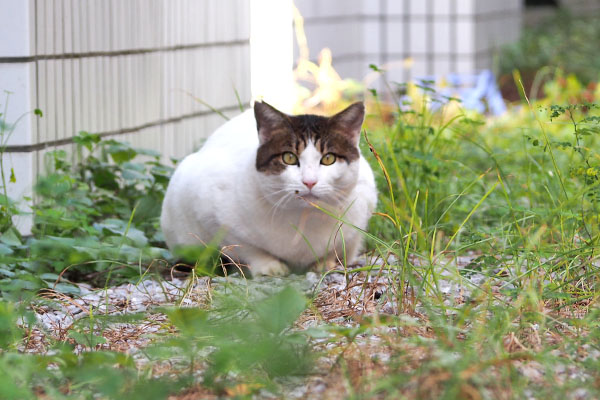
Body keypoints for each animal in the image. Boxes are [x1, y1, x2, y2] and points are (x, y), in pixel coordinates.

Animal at [159, 101, 376, 276]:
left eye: (328, 158)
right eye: (289, 157)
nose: (309, 182)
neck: (304, 219)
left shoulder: (362, 211)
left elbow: (338, 249)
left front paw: (325, 263)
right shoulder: (210, 209)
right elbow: (246, 248)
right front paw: (269, 266)